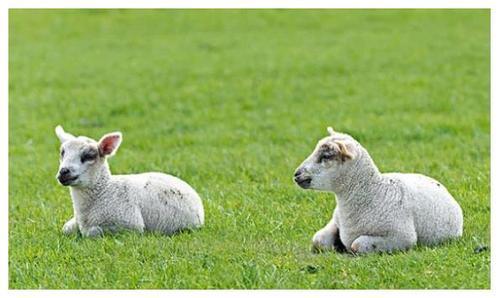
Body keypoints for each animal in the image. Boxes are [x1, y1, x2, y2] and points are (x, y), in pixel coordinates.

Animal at [54, 125, 203, 237]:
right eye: (62, 153)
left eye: (89, 156)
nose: (63, 172)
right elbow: (66, 228)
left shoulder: (130, 225)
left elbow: (92, 232)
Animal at [292, 126, 464, 254]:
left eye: (326, 156)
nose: (296, 174)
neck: (374, 192)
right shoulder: (335, 221)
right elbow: (318, 241)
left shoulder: (402, 237)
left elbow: (356, 245)